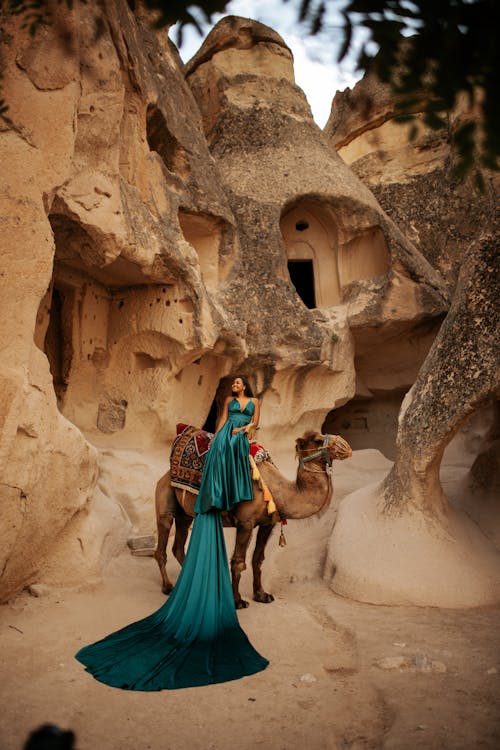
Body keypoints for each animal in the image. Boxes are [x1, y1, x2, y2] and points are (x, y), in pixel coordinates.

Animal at [154, 432, 354, 608]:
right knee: (161, 548)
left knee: (178, 547)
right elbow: (238, 561)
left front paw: (261, 595)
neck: (276, 490)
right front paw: (237, 601)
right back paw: (168, 587)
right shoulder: (245, 523)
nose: (346, 446)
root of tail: (165, 475)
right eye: (319, 440)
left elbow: (258, 559)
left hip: (185, 515)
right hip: (165, 502)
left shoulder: (268, 523)